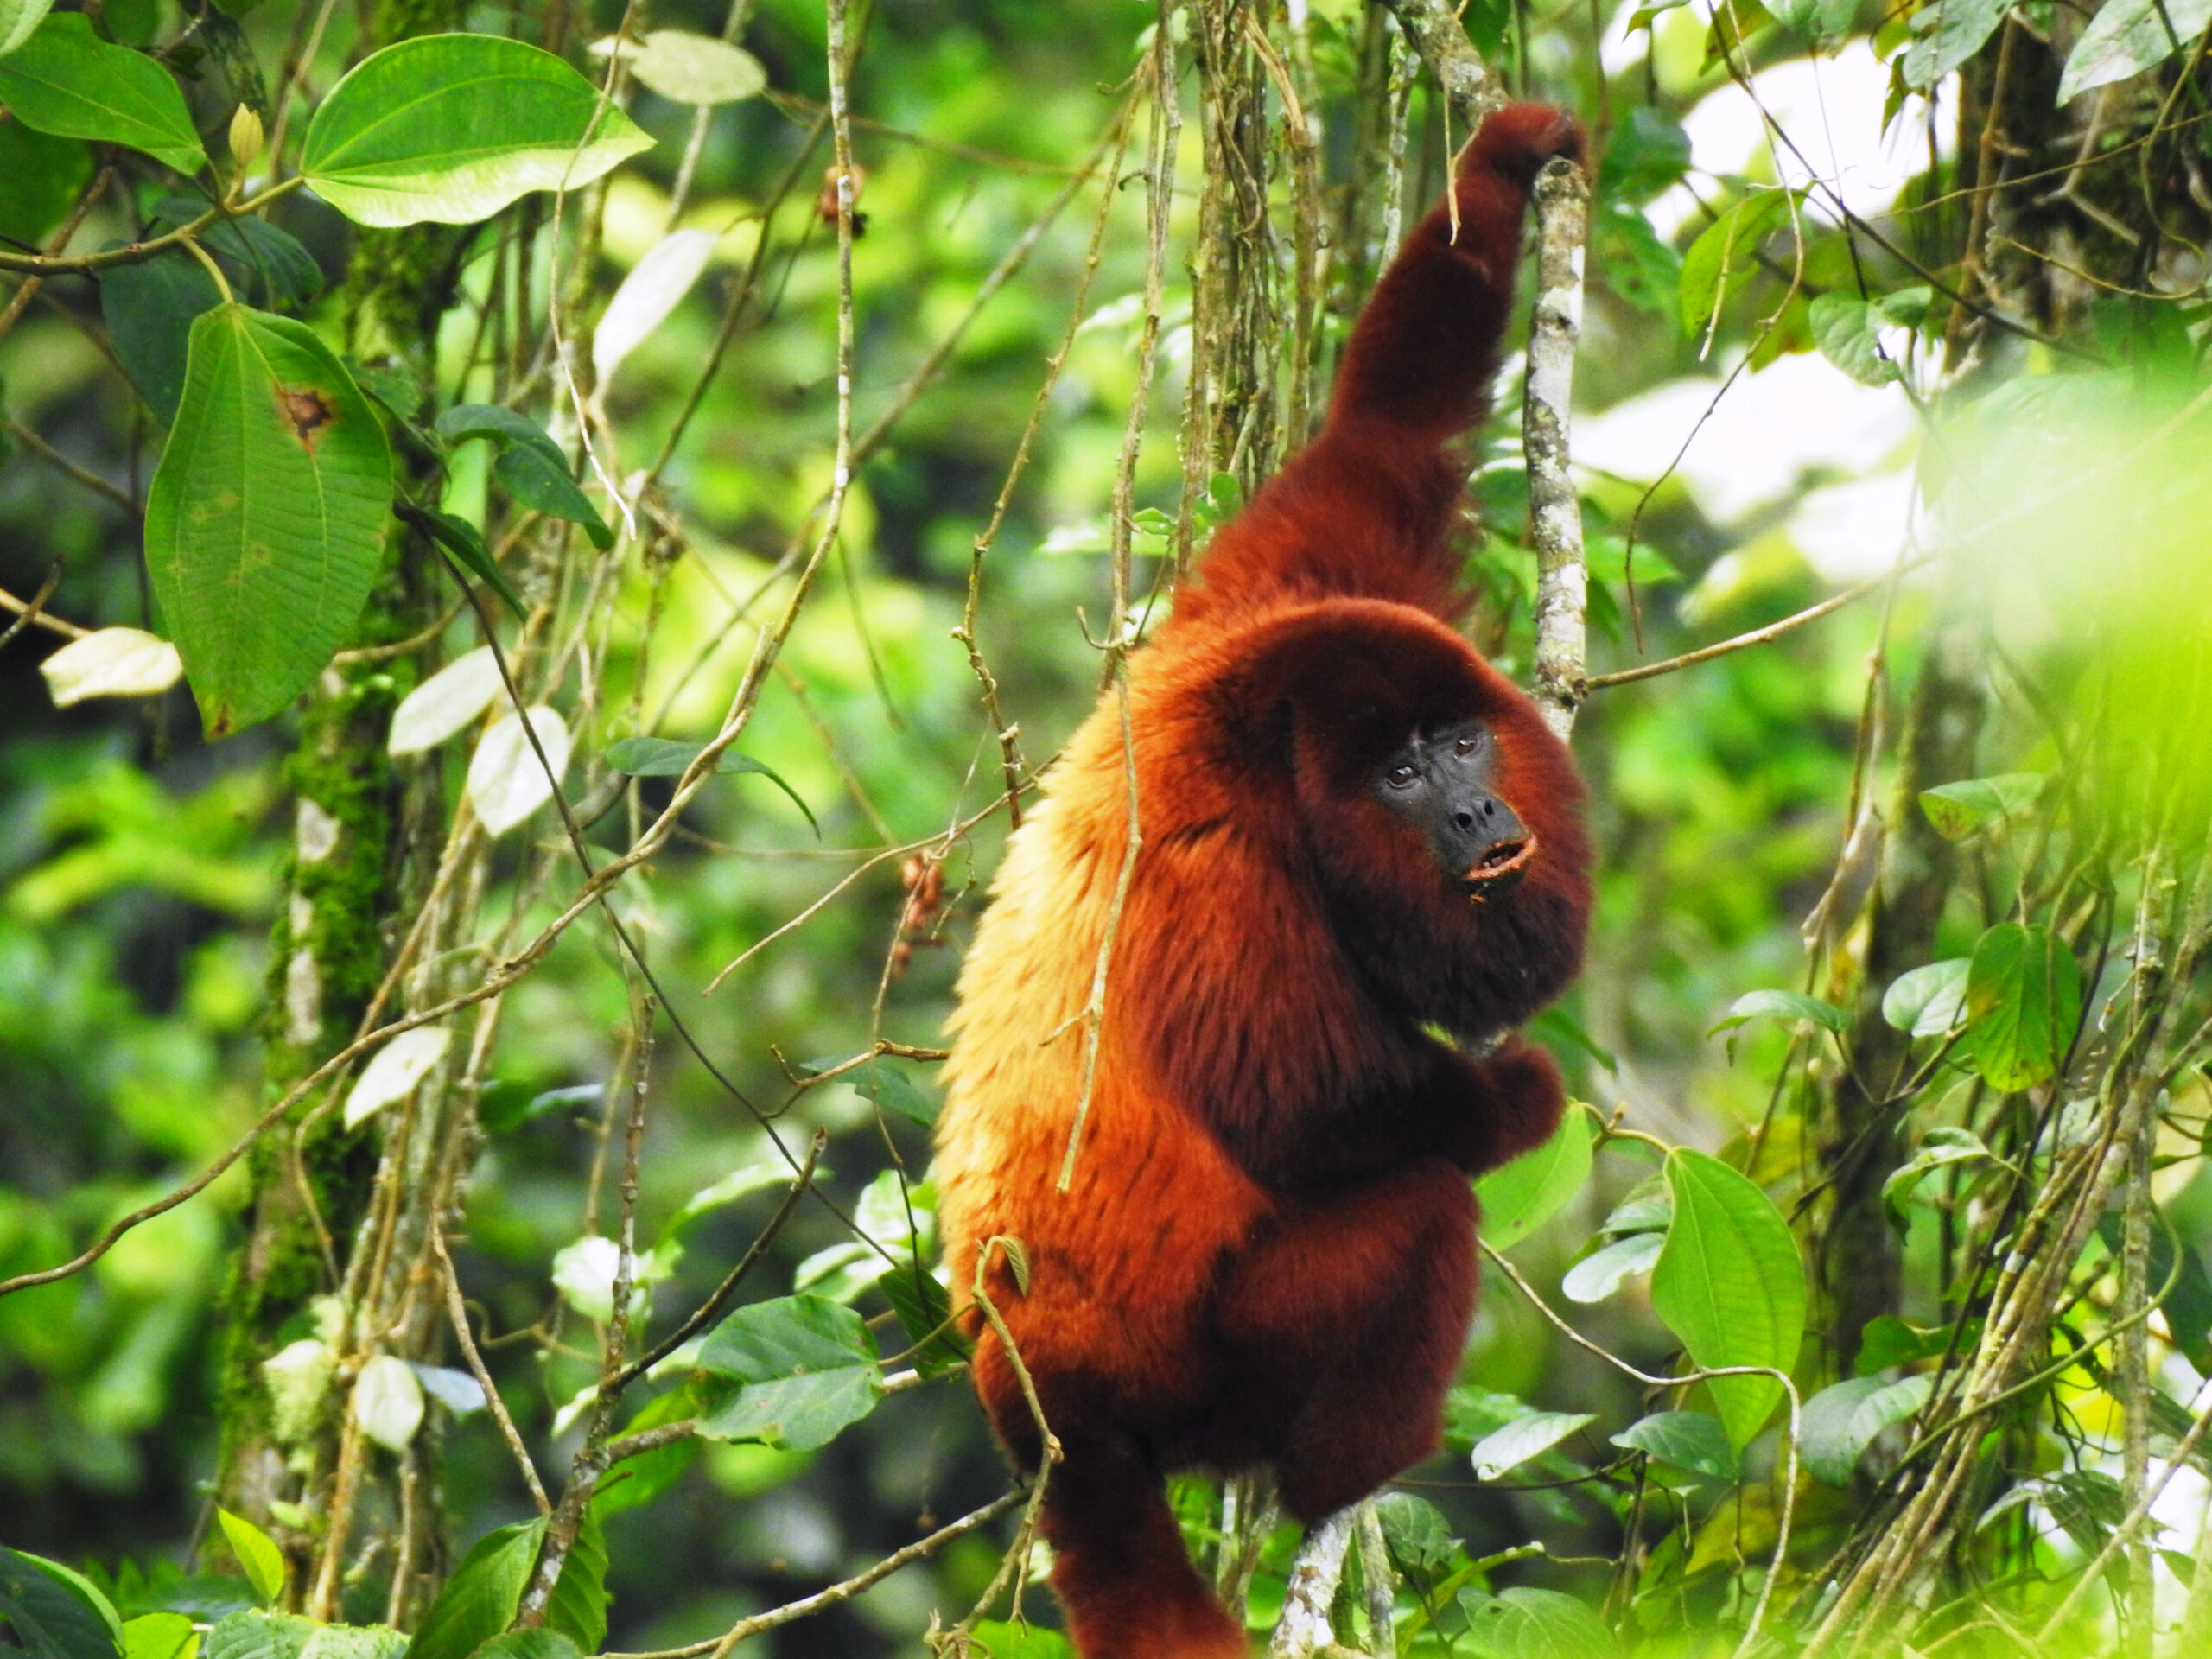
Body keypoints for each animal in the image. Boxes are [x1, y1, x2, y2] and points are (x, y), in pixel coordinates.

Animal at [932, 102, 1592, 1658]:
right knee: (1423, 1206)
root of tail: (1032, 1386)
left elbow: (1384, 432)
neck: (1262, 744)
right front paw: (1516, 1097)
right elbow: (1310, 1113)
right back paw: (1351, 1471)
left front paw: (1503, 166)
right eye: (1400, 776)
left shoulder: (1277, 597)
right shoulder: (1225, 879)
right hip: (1208, 1366)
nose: (1476, 808)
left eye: (1459, 738)